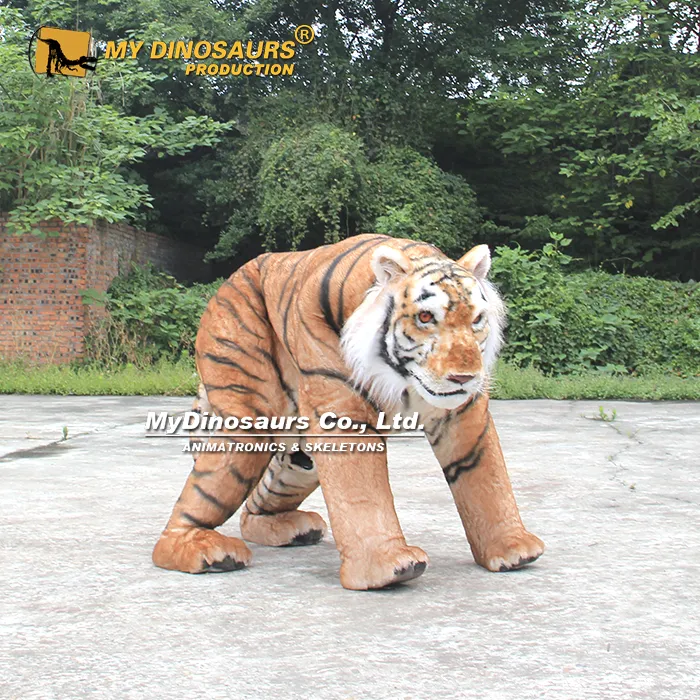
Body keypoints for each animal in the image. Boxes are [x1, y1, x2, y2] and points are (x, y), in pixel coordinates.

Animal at [152, 234, 545, 590]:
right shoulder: (342, 415)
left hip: (300, 459)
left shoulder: (464, 415)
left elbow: (486, 477)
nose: (464, 377)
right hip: (248, 414)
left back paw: (290, 530)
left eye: (476, 319)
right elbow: (362, 492)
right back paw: (204, 549)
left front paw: (512, 548)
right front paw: (388, 566)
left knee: (258, 504)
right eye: (425, 317)